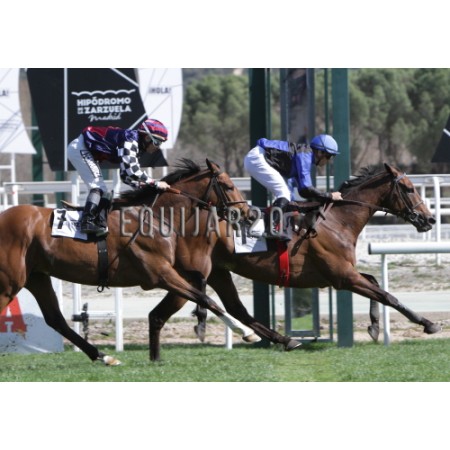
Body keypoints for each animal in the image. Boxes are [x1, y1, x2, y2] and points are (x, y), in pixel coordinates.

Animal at [0, 158, 258, 365]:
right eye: (229, 186)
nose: (250, 214)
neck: (156, 217)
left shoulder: (172, 270)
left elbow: (202, 287)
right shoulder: (160, 274)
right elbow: (206, 298)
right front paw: (245, 331)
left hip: (36, 277)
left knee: (56, 319)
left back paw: (104, 357)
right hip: (10, 283)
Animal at [148, 163, 440, 360]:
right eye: (409, 188)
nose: (430, 219)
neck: (337, 221)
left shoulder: (344, 273)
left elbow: (376, 283)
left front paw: (375, 326)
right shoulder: (343, 277)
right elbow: (388, 295)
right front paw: (428, 323)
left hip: (219, 272)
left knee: (236, 308)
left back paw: (282, 340)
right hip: (194, 273)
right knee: (173, 309)